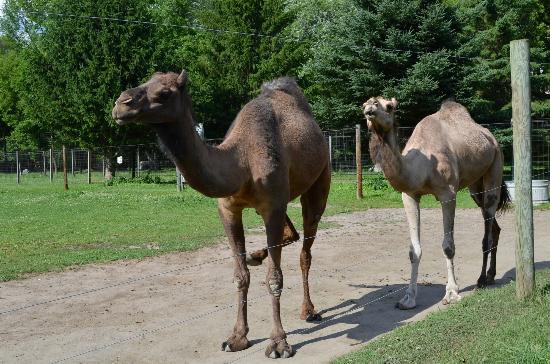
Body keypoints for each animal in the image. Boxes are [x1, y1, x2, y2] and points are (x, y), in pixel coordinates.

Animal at [110, 71, 330, 358]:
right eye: (148, 80)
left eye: (165, 93)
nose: (121, 104)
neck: (242, 163)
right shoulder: (228, 209)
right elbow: (240, 276)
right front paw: (237, 337)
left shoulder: (272, 206)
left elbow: (274, 278)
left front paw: (278, 343)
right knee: (290, 234)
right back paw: (256, 256)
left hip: (319, 181)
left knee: (306, 250)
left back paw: (309, 310)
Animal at [364, 97, 512, 310]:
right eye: (364, 104)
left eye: (389, 106)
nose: (370, 107)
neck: (422, 166)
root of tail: (491, 138)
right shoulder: (409, 195)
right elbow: (414, 250)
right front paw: (408, 299)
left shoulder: (447, 194)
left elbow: (448, 246)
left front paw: (452, 293)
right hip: (475, 187)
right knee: (494, 225)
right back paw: (491, 276)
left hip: (496, 166)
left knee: (488, 226)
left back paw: (482, 280)